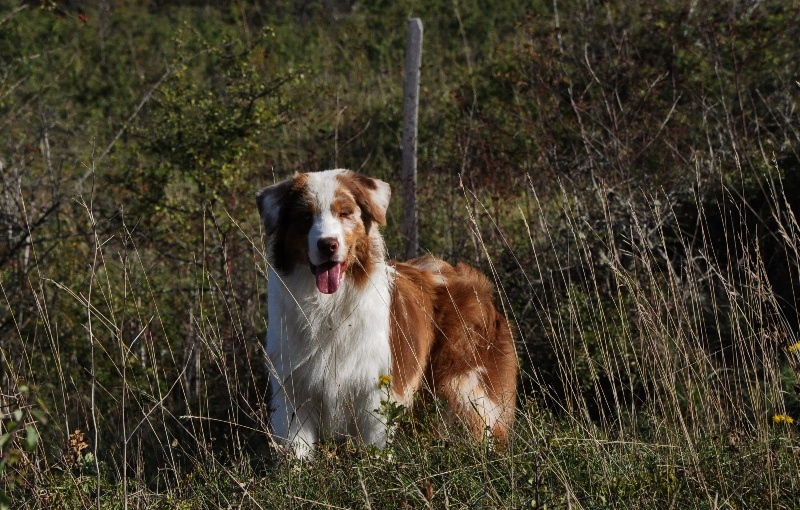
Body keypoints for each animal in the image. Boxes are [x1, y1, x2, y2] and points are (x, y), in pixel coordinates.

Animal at [256, 168, 520, 458]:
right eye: (305, 216)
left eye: (345, 213)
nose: (328, 245)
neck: (329, 306)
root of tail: (470, 278)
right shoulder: (293, 395)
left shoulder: (374, 398)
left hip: (464, 386)